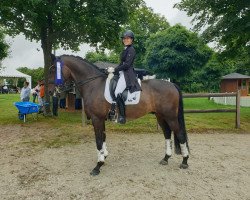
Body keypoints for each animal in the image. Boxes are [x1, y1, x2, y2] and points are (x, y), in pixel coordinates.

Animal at [47, 54, 189, 175]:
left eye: (53, 69)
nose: (49, 92)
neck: (93, 85)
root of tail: (172, 84)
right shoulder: (101, 119)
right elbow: (103, 137)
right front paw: (104, 156)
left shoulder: (96, 119)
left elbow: (98, 140)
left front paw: (98, 166)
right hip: (160, 116)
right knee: (167, 133)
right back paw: (165, 158)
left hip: (170, 117)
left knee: (180, 135)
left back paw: (185, 161)